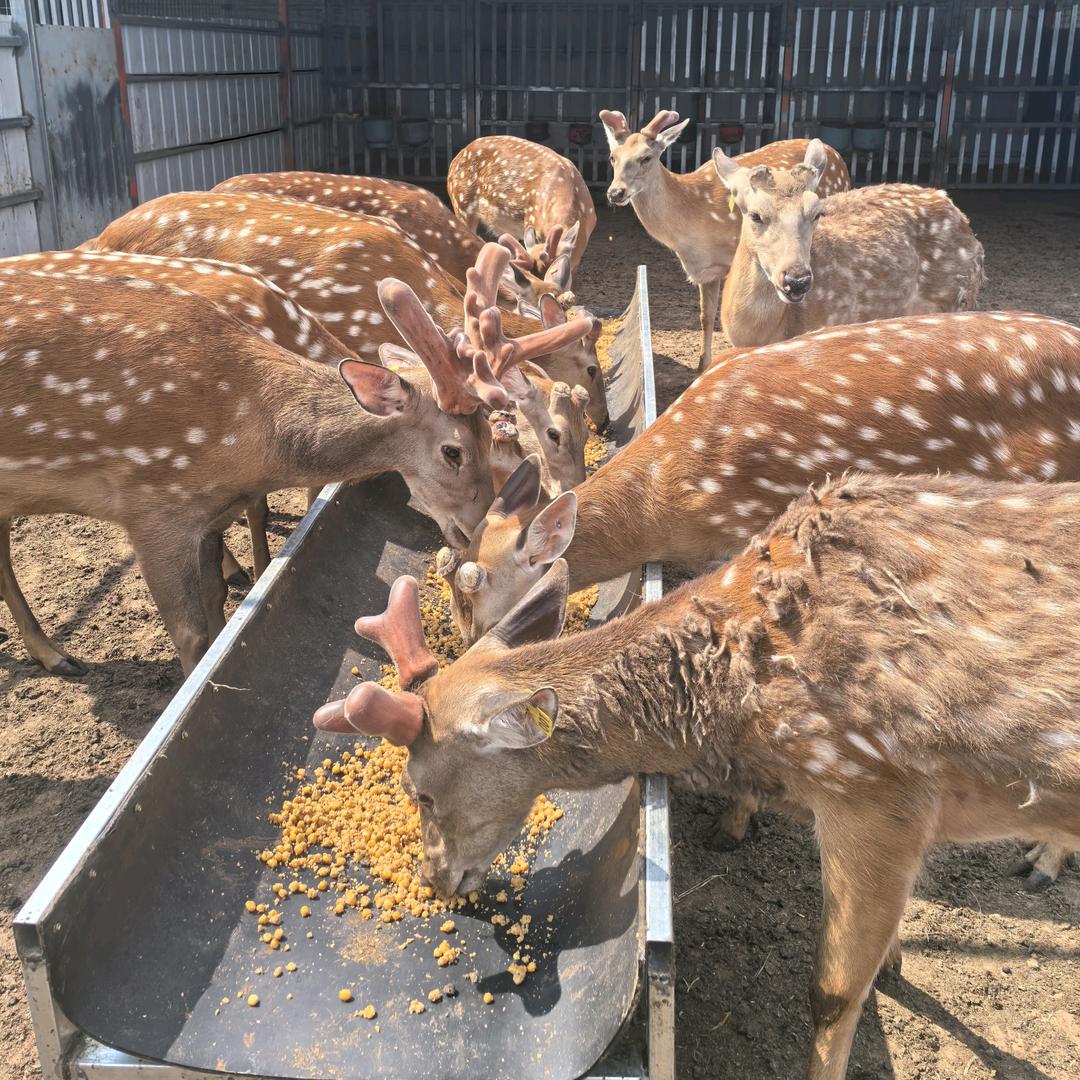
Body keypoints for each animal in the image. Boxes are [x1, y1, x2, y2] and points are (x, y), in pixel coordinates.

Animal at [0, 261, 591, 677]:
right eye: (453, 451)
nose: (474, 530)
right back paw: (57, 656)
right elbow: (192, 635)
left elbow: (216, 603)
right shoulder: (151, 502)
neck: (246, 430)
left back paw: (52, 654)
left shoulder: (206, 511)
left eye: (487, 435)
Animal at [439, 308, 1080, 889]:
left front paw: (734, 822)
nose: (459, 659)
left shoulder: (752, 531)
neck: (674, 496)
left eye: (476, 589)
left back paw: (1042, 863)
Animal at [599, 109, 851, 370]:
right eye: (612, 157)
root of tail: (838, 157)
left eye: (646, 157)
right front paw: (702, 365)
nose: (615, 192)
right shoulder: (706, 270)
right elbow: (706, 316)